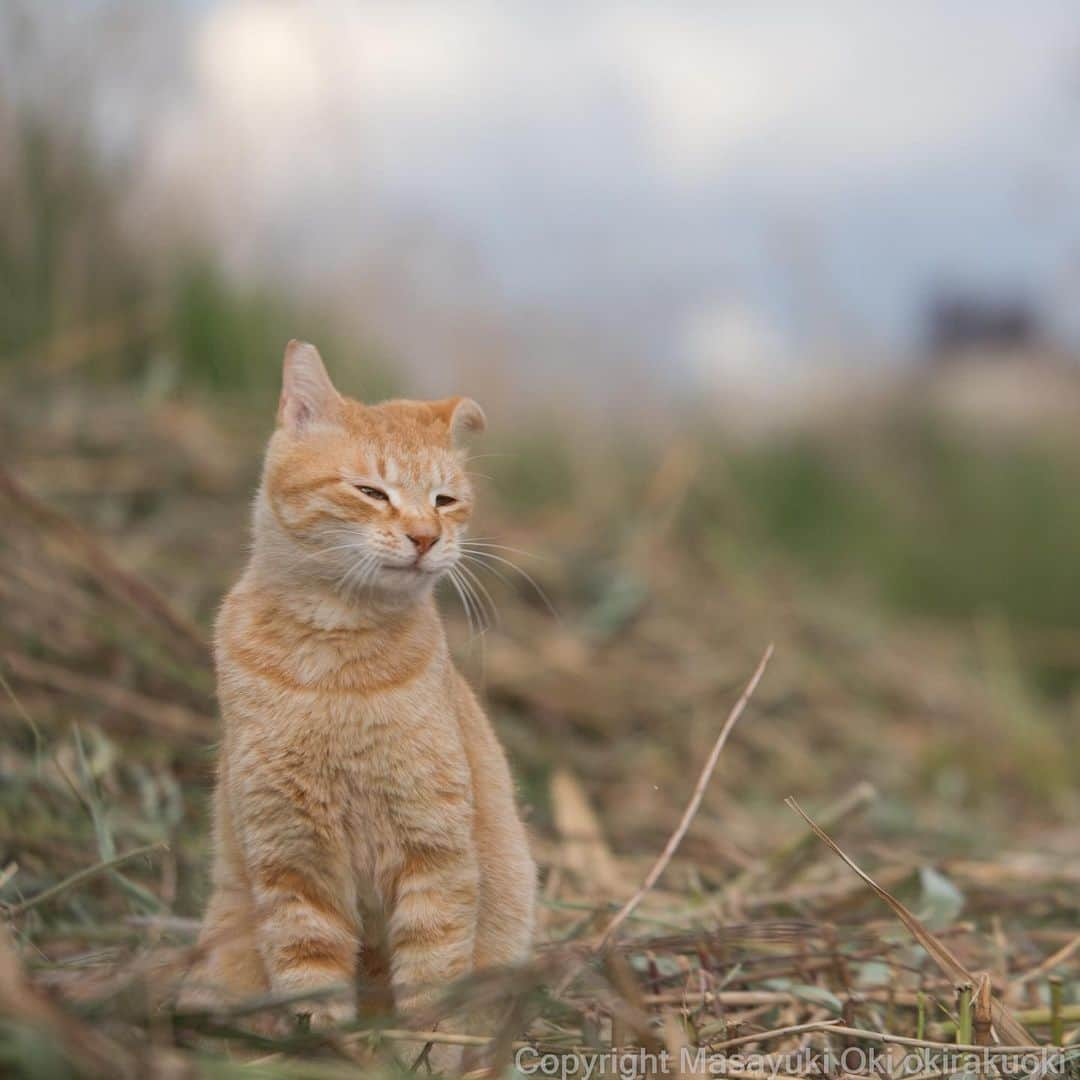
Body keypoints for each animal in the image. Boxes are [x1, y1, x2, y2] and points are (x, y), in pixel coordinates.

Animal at [189, 339, 540, 1054]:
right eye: (372, 491)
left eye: (444, 499)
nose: (426, 536)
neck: (334, 659)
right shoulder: (292, 859)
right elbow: (309, 967)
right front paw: (322, 1045)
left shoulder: (434, 849)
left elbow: (433, 965)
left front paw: (429, 1047)